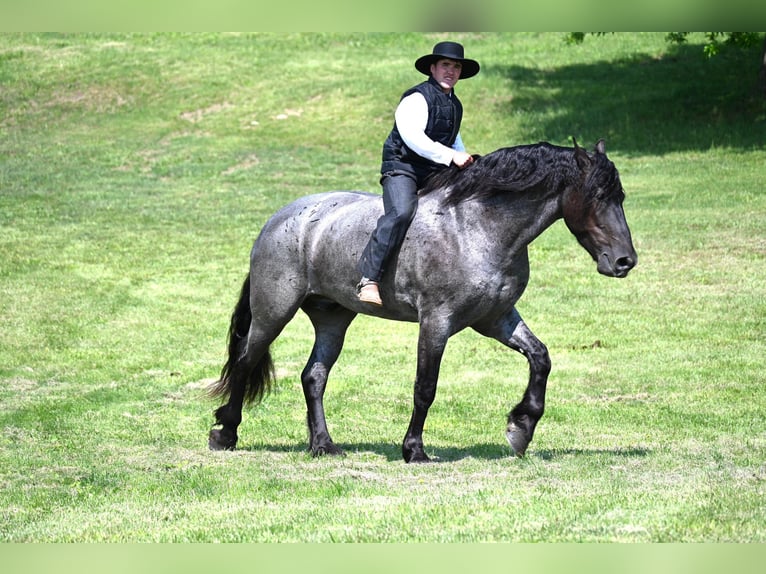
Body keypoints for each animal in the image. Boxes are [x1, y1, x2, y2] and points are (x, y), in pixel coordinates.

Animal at [207, 140, 640, 464]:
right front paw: (414, 449)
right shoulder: (437, 321)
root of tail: (280, 218)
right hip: (273, 311)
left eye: (620, 196)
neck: (476, 228)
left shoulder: (496, 318)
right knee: (245, 361)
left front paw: (521, 427)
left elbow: (541, 358)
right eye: (597, 196)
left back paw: (323, 445)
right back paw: (225, 433)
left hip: (334, 319)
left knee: (313, 376)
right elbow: (425, 386)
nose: (625, 261)